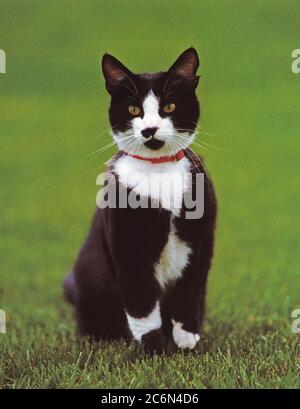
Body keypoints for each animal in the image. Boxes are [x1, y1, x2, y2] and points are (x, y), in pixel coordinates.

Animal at [64, 47, 217, 352]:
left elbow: (190, 288)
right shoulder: (125, 243)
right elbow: (141, 301)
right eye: (134, 109)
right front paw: (153, 348)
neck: (158, 171)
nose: (150, 129)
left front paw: (186, 339)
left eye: (169, 107)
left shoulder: (201, 237)